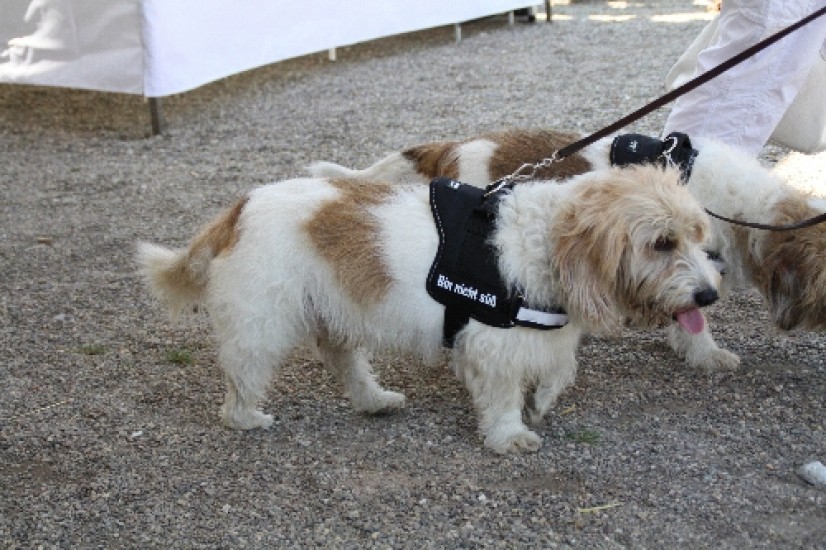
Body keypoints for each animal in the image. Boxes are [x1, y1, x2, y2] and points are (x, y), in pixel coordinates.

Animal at [137, 165, 721, 454]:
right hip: (261, 326)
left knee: (343, 361)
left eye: (696, 234)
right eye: (661, 243)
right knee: (242, 377)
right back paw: (245, 418)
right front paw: (510, 436)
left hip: (334, 311)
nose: (709, 297)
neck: (544, 240)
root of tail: (239, 208)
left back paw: (374, 400)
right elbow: (504, 396)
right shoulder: (493, 345)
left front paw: (542, 403)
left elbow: (558, 370)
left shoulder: (542, 337)